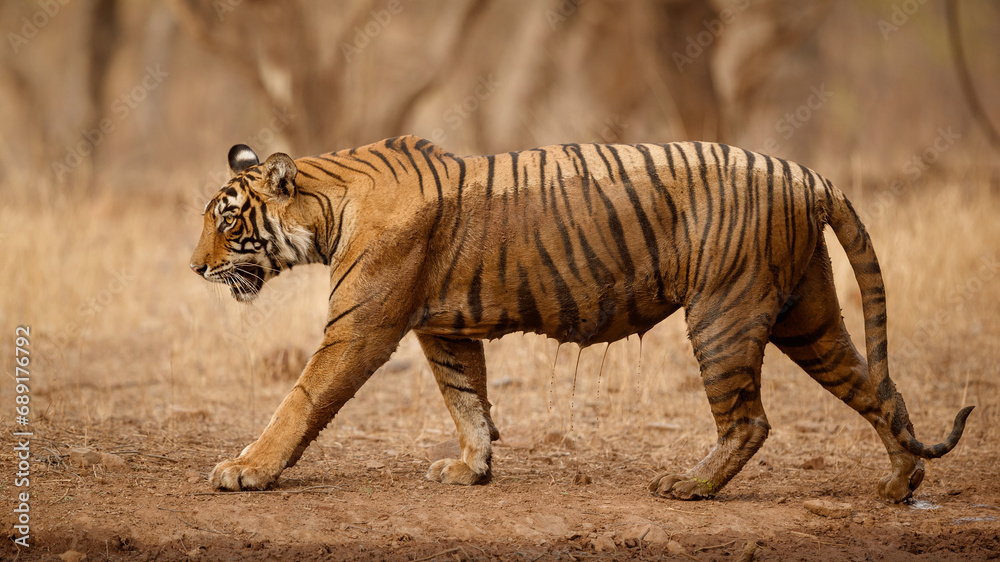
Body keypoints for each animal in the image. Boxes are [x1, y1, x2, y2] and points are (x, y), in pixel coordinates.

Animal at [190, 136, 973, 502]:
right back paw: (900, 484)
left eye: (228, 223)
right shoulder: (442, 329)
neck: (326, 208)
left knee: (750, 420)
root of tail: (806, 174)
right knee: (877, 387)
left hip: (724, 311)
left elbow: (302, 399)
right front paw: (473, 468)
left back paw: (690, 487)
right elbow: (466, 398)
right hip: (806, 316)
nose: (195, 268)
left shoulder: (361, 325)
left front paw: (246, 470)